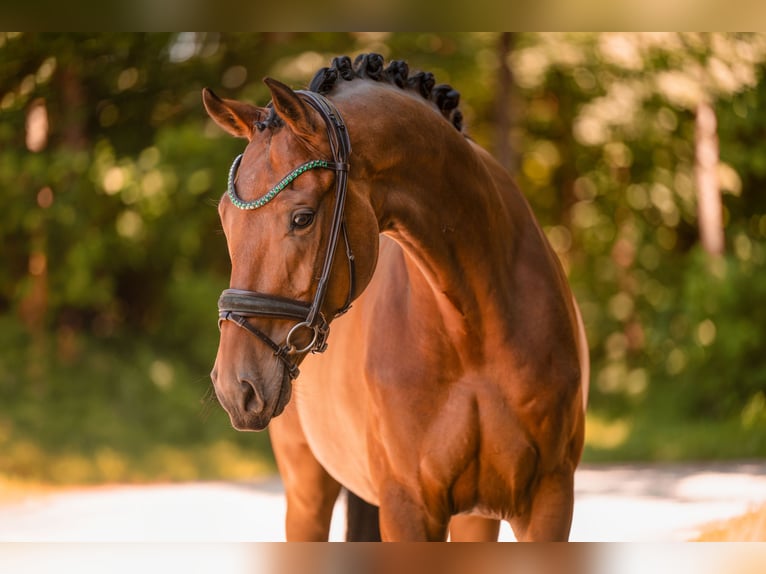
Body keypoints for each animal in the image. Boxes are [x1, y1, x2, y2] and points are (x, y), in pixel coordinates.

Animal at [204, 53, 589, 541]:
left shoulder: (548, 501)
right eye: (225, 218)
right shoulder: (408, 507)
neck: (474, 327)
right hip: (307, 488)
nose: (235, 387)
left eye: (302, 218)